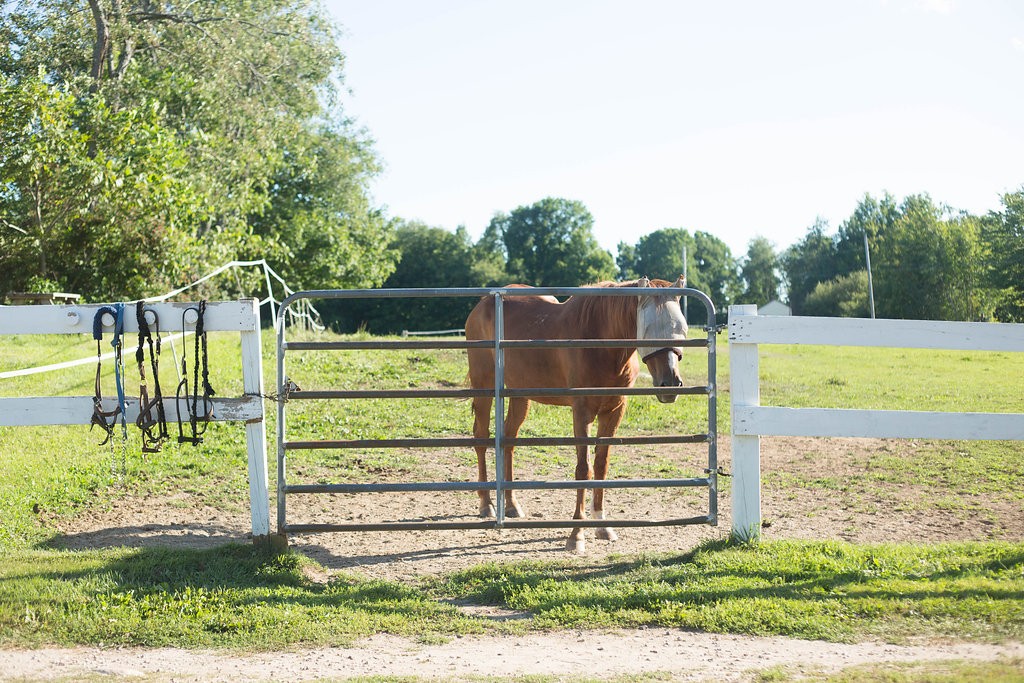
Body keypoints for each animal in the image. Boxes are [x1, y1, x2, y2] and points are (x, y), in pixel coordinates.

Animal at [464, 274, 688, 552]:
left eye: (680, 328)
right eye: (648, 329)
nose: (670, 383)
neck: (600, 343)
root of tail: (481, 305)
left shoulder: (613, 411)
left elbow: (601, 466)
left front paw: (602, 525)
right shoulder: (581, 412)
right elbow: (583, 469)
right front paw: (576, 534)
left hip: (519, 395)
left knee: (509, 440)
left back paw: (512, 505)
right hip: (484, 387)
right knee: (481, 438)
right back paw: (486, 504)